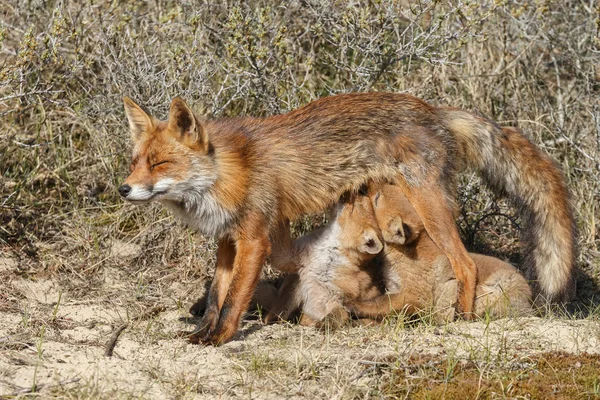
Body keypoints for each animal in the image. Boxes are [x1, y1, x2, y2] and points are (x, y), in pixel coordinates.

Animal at [119, 93, 576, 344]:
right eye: (135, 163)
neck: (229, 172)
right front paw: (200, 335)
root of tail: (434, 109)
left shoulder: (254, 239)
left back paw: (460, 320)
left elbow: (233, 302)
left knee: (465, 264)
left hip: (429, 208)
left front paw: (221, 340)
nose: (123, 189)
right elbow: (215, 297)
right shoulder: (227, 242)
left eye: (160, 164)